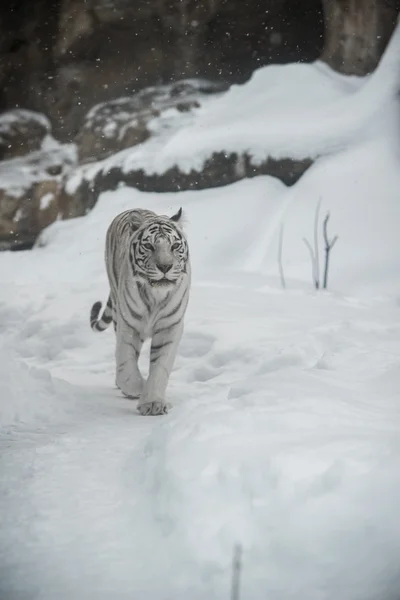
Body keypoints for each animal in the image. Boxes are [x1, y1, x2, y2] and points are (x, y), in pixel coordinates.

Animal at [90, 206, 191, 412]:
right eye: (150, 246)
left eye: (174, 246)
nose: (165, 266)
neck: (156, 296)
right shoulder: (128, 324)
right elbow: (126, 363)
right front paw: (137, 388)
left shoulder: (170, 326)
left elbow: (160, 366)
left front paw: (153, 402)